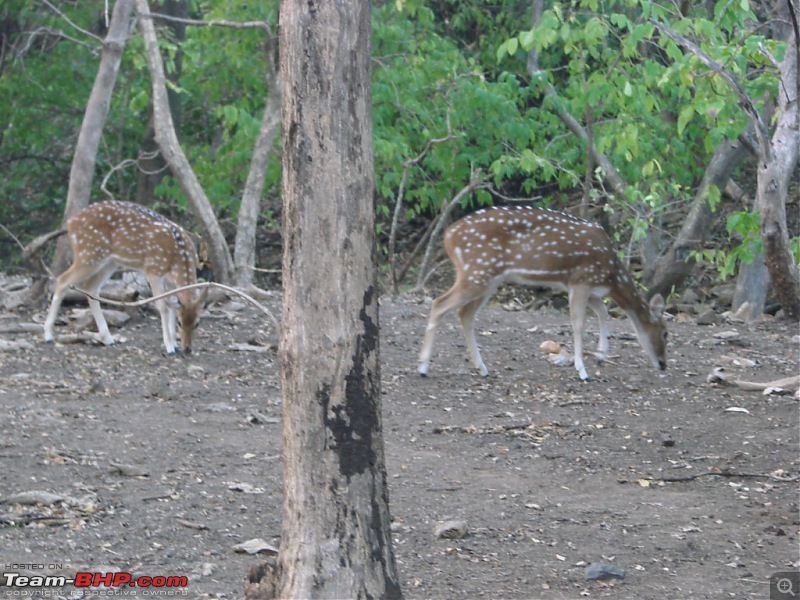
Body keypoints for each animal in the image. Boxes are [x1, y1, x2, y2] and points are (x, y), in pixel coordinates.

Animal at [43, 199, 208, 354]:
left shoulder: (170, 280)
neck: (179, 258)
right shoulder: (153, 270)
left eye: (197, 323)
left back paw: (108, 338)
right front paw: (169, 347)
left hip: (110, 261)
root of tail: (71, 223)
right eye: (180, 322)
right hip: (89, 254)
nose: (187, 349)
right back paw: (48, 335)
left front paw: (174, 343)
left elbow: (172, 304)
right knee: (62, 280)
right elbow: (163, 306)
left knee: (90, 287)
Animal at [418, 206, 668, 380]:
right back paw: (423, 367)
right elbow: (579, 323)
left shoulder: (588, 287)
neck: (612, 277)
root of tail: (448, 237)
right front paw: (582, 371)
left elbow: (602, 310)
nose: (663, 364)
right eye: (666, 333)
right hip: (477, 272)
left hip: (488, 279)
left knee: (465, 313)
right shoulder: (581, 280)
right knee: (439, 303)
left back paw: (482, 368)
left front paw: (600, 355)